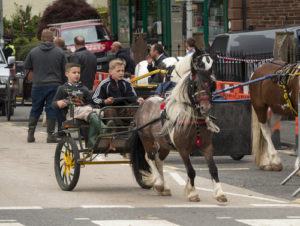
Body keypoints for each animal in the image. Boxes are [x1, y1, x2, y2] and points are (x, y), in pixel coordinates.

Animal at [129, 50, 227, 203]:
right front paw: (192, 193)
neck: (193, 120)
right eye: (194, 85)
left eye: (211, 84)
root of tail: (144, 102)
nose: (205, 108)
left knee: (158, 160)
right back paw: (159, 183)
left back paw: (164, 187)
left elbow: (213, 169)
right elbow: (191, 171)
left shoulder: (207, 147)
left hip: (164, 144)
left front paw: (219, 193)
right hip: (146, 138)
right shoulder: (183, 150)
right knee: (149, 157)